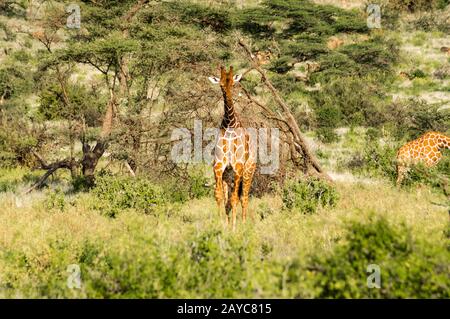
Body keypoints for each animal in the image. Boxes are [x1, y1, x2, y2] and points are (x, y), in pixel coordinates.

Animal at [208, 65, 256, 230]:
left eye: (233, 85)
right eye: (221, 85)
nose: (228, 101)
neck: (229, 124)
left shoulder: (238, 167)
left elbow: (235, 198)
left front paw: (234, 227)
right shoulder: (218, 166)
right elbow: (219, 196)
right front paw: (222, 224)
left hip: (248, 171)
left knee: (244, 197)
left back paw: (243, 223)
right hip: (227, 176)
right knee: (228, 199)